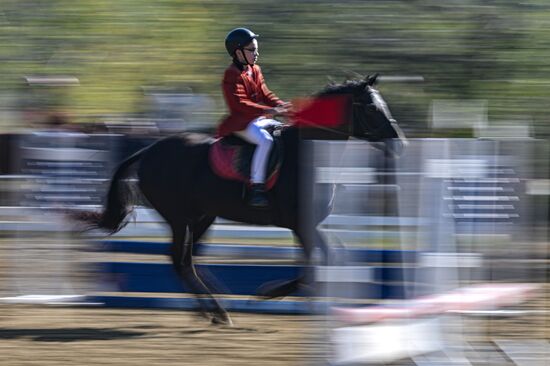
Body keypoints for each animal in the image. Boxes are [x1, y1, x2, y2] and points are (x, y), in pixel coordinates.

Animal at [75, 73, 408, 324]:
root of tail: (149, 151)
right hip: (179, 218)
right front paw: (269, 293)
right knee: (180, 260)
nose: (401, 144)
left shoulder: (310, 225)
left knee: (189, 260)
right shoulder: (302, 225)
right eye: (370, 107)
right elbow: (323, 261)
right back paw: (218, 311)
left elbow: (330, 258)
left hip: (202, 217)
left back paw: (213, 309)